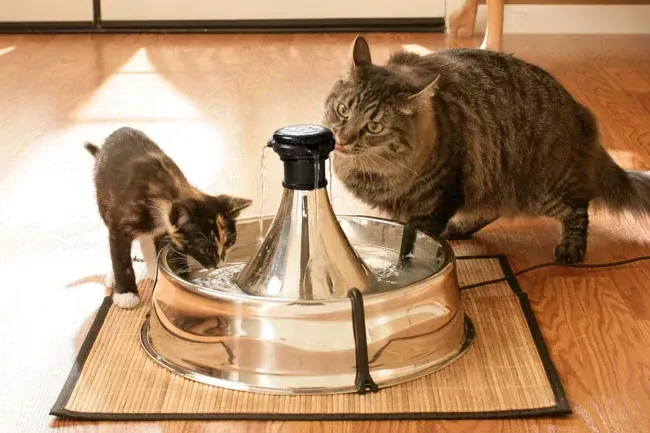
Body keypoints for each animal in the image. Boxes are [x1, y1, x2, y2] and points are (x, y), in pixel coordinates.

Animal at [88, 126, 253, 308]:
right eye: (204, 249)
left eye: (229, 243)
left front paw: (185, 280)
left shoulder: (171, 232)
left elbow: (174, 253)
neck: (167, 192)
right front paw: (126, 293)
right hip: (104, 198)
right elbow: (120, 256)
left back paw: (153, 267)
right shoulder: (120, 222)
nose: (218, 265)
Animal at [320, 36, 648, 264]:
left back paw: (571, 248)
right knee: (493, 209)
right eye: (343, 110)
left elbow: (409, 247)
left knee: (579, 208)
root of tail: (579, 112)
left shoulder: (438, 202)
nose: (343, 139)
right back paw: (459, 228)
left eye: (374, 126)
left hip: (543, 189)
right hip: (495, 177)